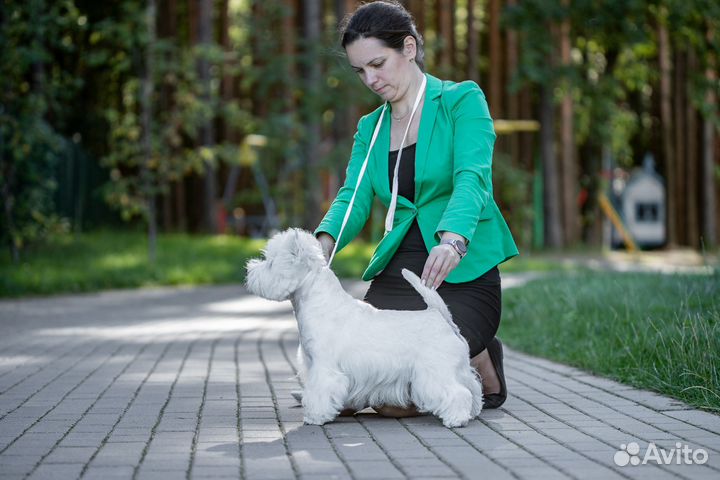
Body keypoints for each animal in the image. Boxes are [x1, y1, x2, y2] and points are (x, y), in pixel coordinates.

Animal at [246, 229, 484, 428]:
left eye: (270, 262)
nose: (249, 271)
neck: (317, 302)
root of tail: (441, 316)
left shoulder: (324, 368)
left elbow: (320, 391)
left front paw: (315, 417)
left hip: (435, 372)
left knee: (458, 392)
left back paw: (456, 419)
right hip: (457, 369)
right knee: (473, 386)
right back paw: (472, 412)